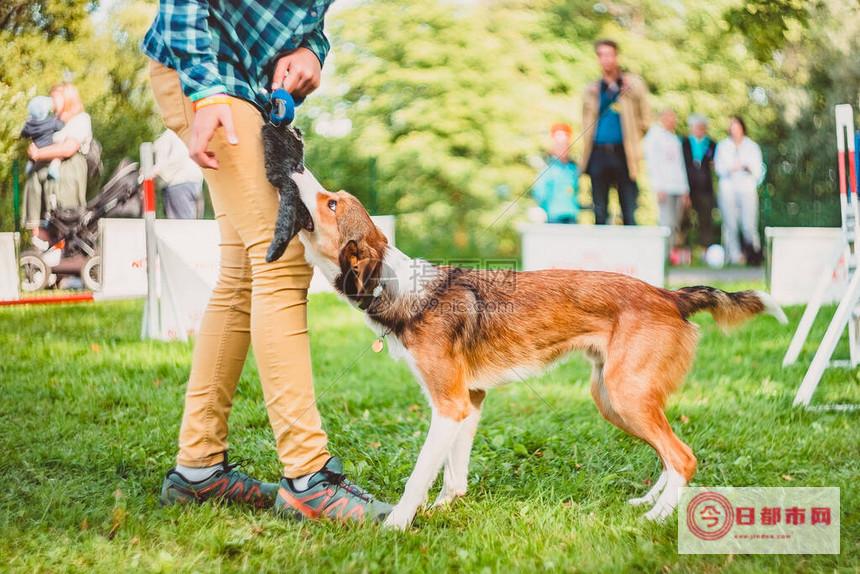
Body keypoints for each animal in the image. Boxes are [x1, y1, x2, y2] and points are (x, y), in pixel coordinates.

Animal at [288, 168, 788, 532]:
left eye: (332, 203)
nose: (293, 165)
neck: (401, 289)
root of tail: (669, 295)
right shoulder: (470, 401)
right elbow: (453, 476)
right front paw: (444, 509)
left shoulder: (449, 405)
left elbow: (419, 478)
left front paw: (396, 525)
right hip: (613, 399)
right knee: (670, 456)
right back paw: (650, 500)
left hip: (625, 394)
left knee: (683, 457)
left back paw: (657, 516)